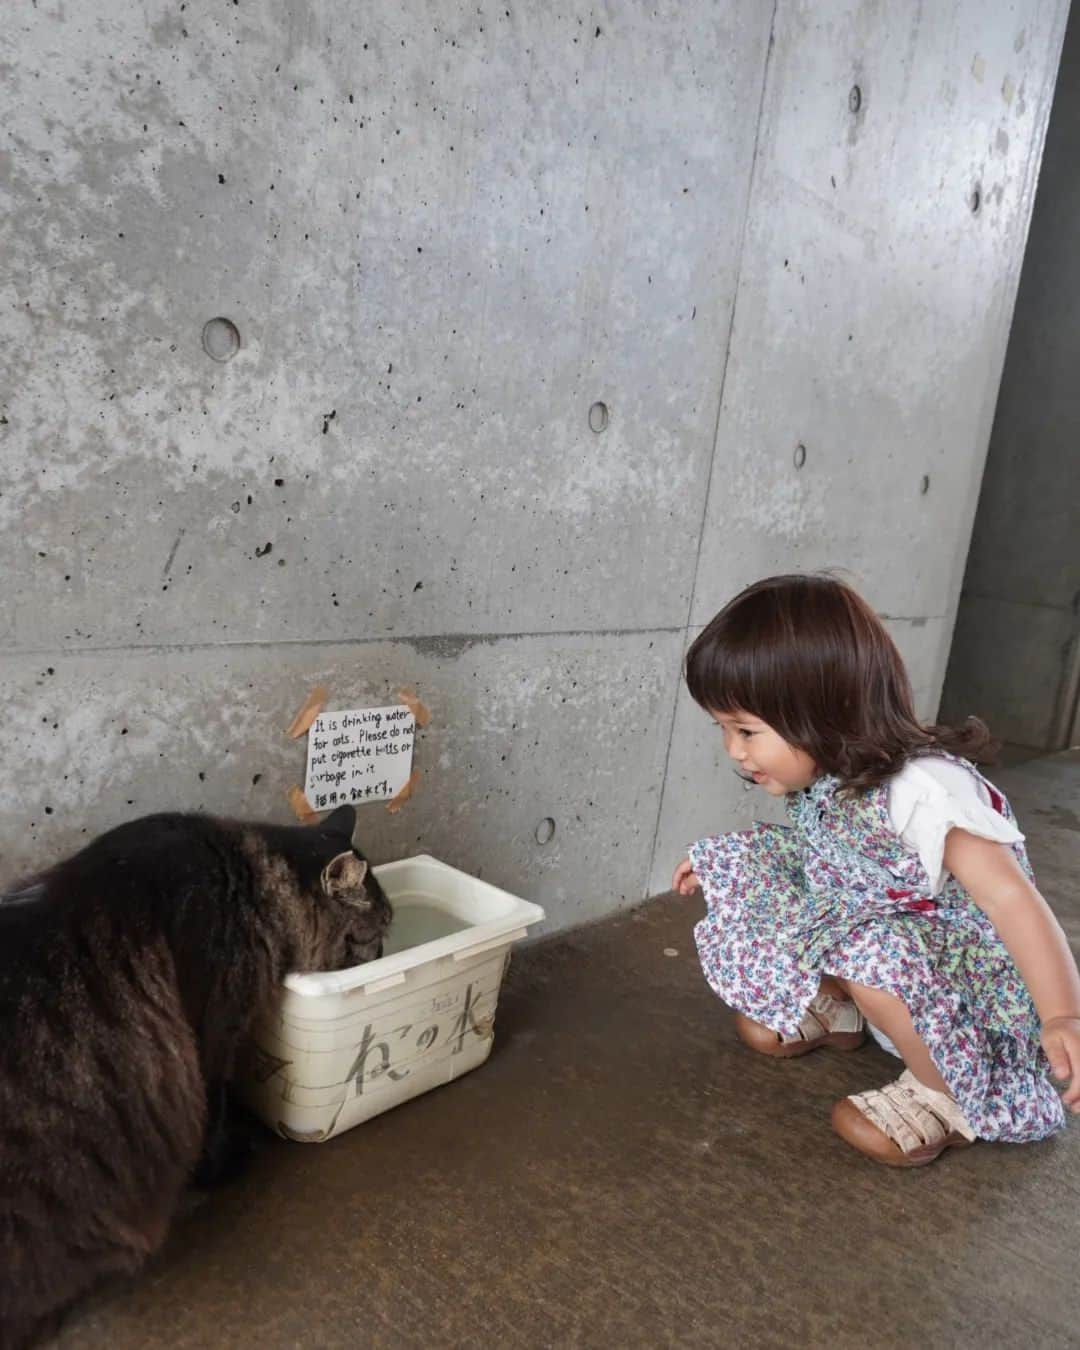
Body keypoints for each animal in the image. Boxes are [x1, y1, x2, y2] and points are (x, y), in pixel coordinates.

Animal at [0, 804, 391, 1344]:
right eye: (378, 934)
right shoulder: (214, 1037)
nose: (386, 955)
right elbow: (214, 1118)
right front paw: (225, 1163)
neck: (248, 881)